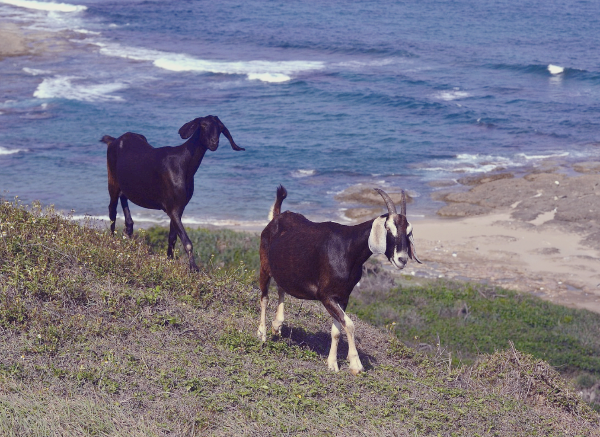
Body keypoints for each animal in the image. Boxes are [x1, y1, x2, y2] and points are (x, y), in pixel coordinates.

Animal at [101, 114, 244, 270]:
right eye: (203, 125)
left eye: (219, 127)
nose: (214, 143)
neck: (183, 164)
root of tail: (114, 140)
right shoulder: (172, 208)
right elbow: (187, 242)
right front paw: (194, 268)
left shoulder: (180, 207)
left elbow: (172, 237)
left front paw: (170, 260)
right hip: (112, 179)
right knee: (112, 210)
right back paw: (112, 240)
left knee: (123, 199)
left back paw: (128, 230)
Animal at [258, 186, 422, 372]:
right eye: (388, 228)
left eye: (408, 232)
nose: (402, 259)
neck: (348, 249)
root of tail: (276, 217)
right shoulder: (326, 296)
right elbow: (349, 324)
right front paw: (356, 364)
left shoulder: (343, 297)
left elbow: (336, 330)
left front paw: (332, 363)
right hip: (264, 266)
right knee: (264, 297)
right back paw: (262, 334)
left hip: (284, 270)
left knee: (281, 288)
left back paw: (277, 325)